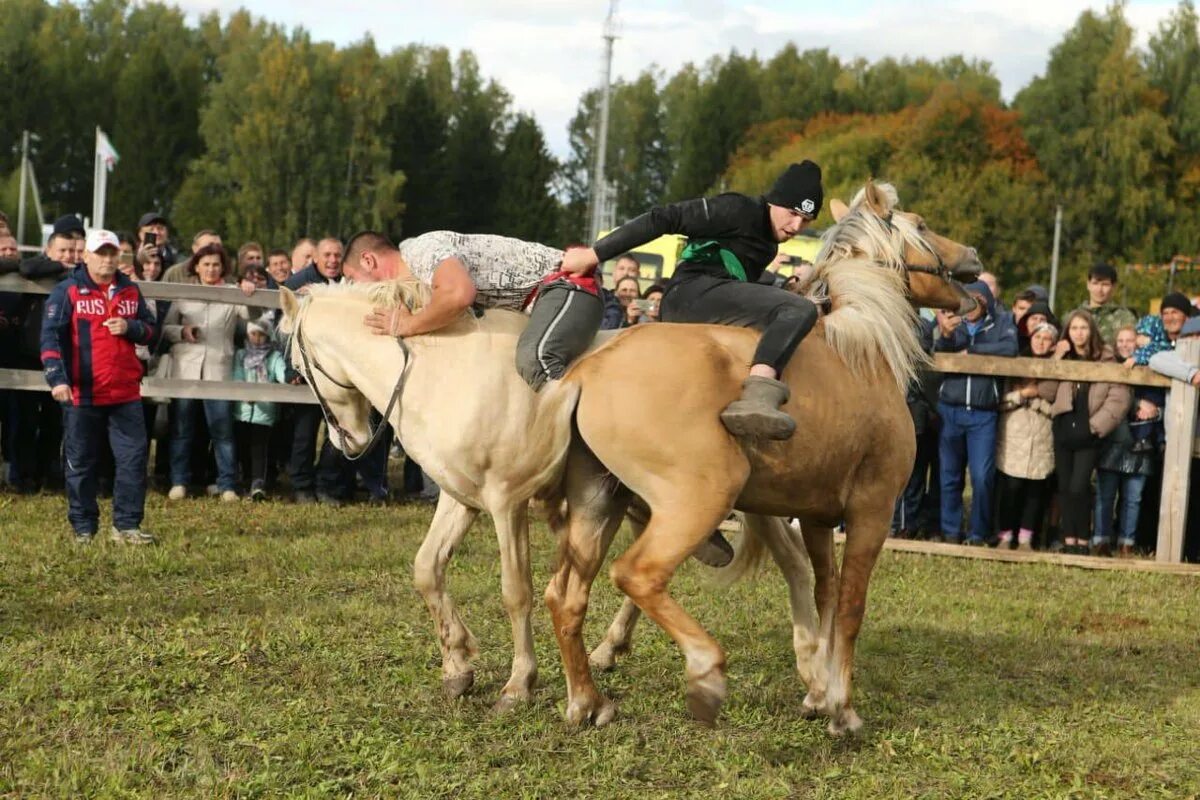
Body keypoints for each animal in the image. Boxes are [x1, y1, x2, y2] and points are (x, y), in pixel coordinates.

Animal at [549, 179, 979, 734]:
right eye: (922, 225)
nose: (972, 257)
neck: (859, 349)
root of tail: (587, 370)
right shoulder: (872, 511)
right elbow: (851, 605)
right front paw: (841, 706)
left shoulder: (817, 517)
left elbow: (823, 592)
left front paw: (819, 689)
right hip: (699, 500)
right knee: (637, 574)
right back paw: (705, 673)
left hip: (599, 502)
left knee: (565, 596)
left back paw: (588, 700)